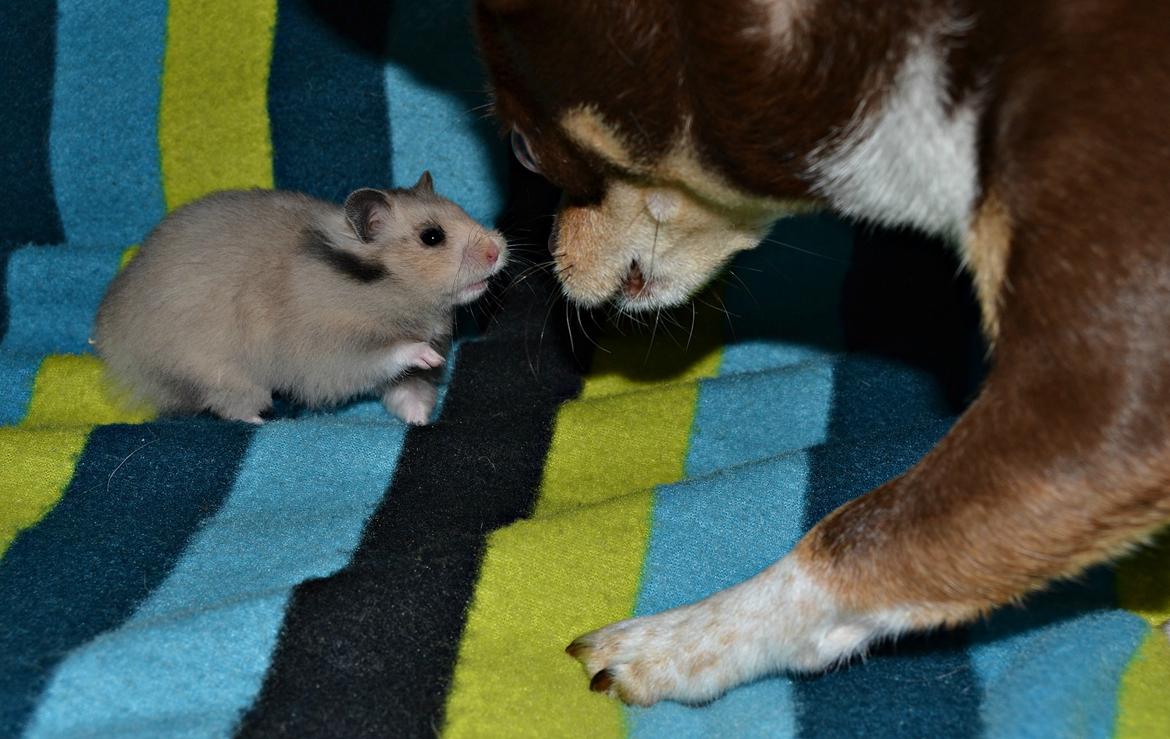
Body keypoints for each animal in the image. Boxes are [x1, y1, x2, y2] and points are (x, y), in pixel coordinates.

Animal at [93, 172, 507, 425]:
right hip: (221, 375)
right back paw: (261, 421)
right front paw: (429, 355)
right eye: (432, 237)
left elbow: (408, 392)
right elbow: (392, 353)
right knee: (228, 405)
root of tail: (109, 341)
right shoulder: (332, 351)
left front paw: (420, 422)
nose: (497, 251)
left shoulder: (399, 375)